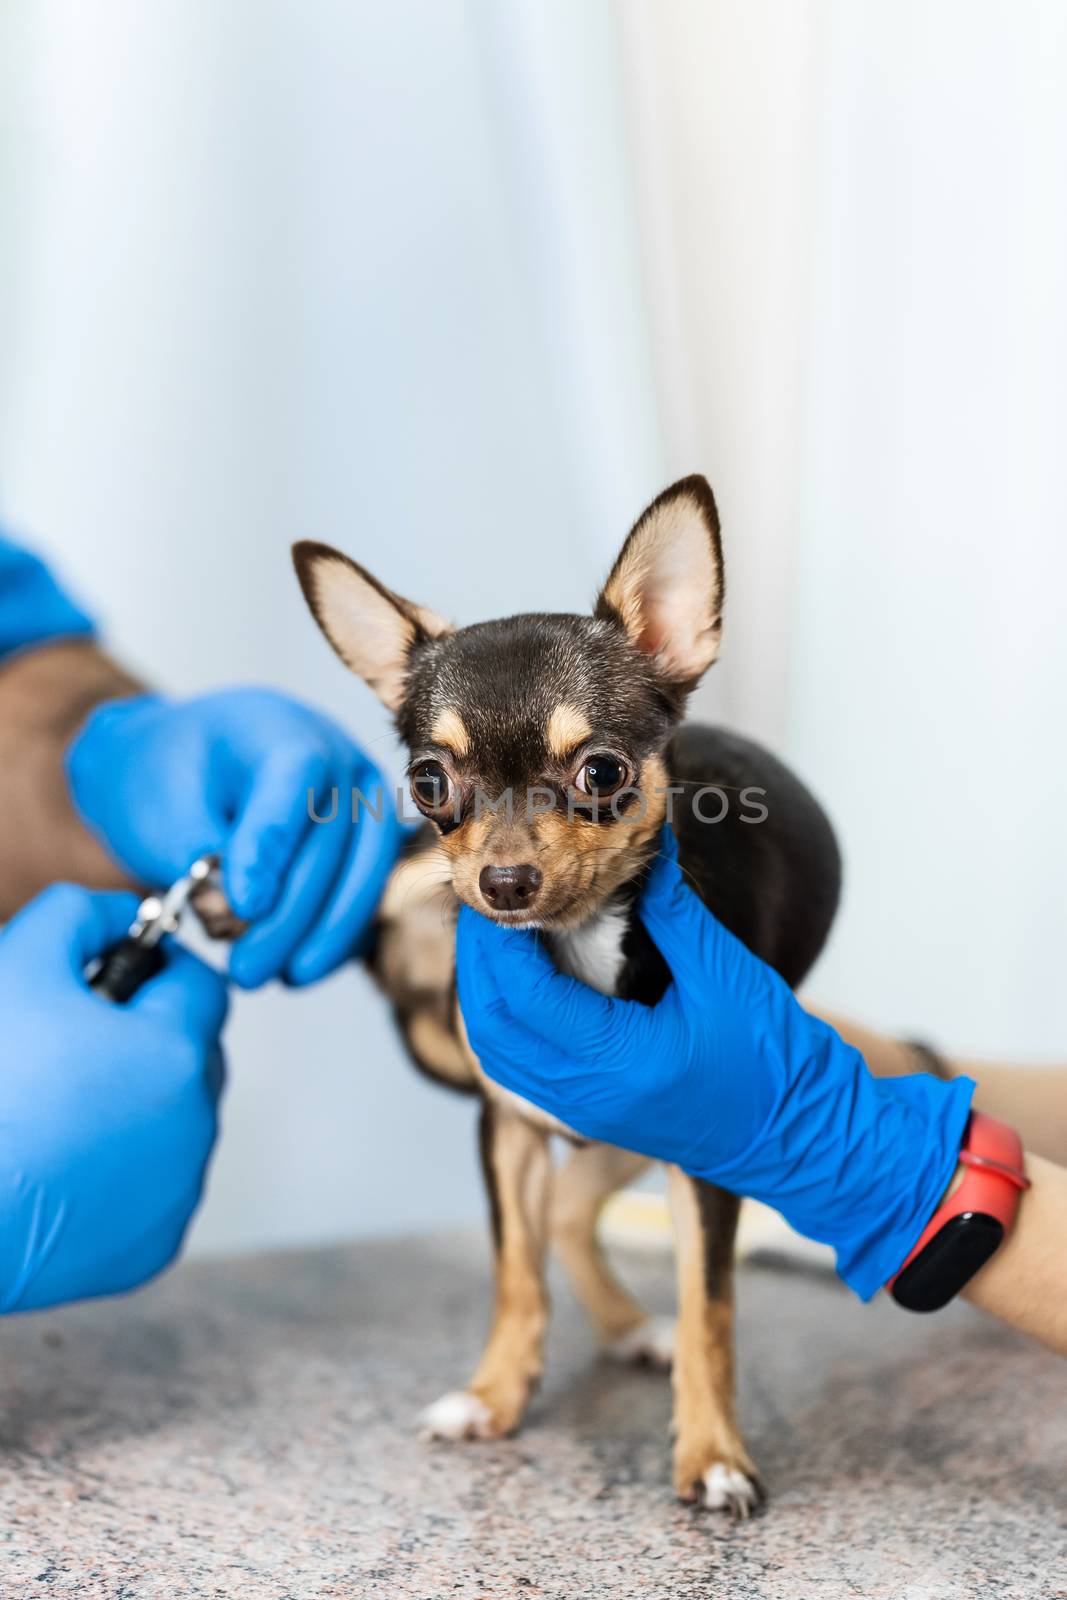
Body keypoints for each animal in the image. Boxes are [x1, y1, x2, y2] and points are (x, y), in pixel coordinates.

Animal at [292, 470, 844, 1510]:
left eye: (602, 772)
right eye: (429, 783)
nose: (502, 882)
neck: (579, 948)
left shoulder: (709, 1149)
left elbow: (710, 1309)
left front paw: (711, 1454)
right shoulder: (505, 1129)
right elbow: (517, 1271)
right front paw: (493, 1396)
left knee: (582, 1212)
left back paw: (635, 1330)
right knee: (563, 1214)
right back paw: (620, 1327)